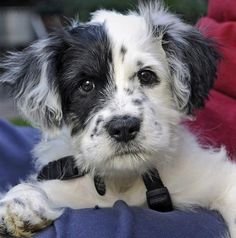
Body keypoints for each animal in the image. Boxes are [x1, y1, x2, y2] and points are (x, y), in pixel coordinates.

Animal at [0, 0, 234, 236]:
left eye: (146, 75)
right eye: (86, 85)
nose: (123, 128)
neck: (123, 180)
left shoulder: (213, 176)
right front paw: (21, 202)